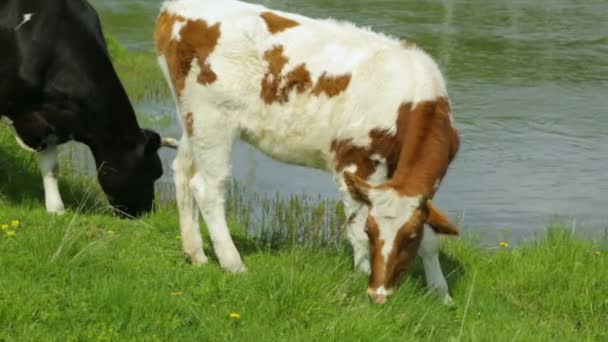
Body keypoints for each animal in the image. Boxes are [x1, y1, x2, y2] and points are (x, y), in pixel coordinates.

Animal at [154, 0, 458, 304]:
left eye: (409, 238)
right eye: (372, 232)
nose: (378, 294)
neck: (412, 99)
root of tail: (175, 8)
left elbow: (431, 238)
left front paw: (440, 292)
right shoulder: (353, 162)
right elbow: (355, 227)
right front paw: (360, 277)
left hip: (192, 120)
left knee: (183, 171)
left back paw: (195, 253)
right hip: (212, 119)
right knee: (207, 188)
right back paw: (233, 263)